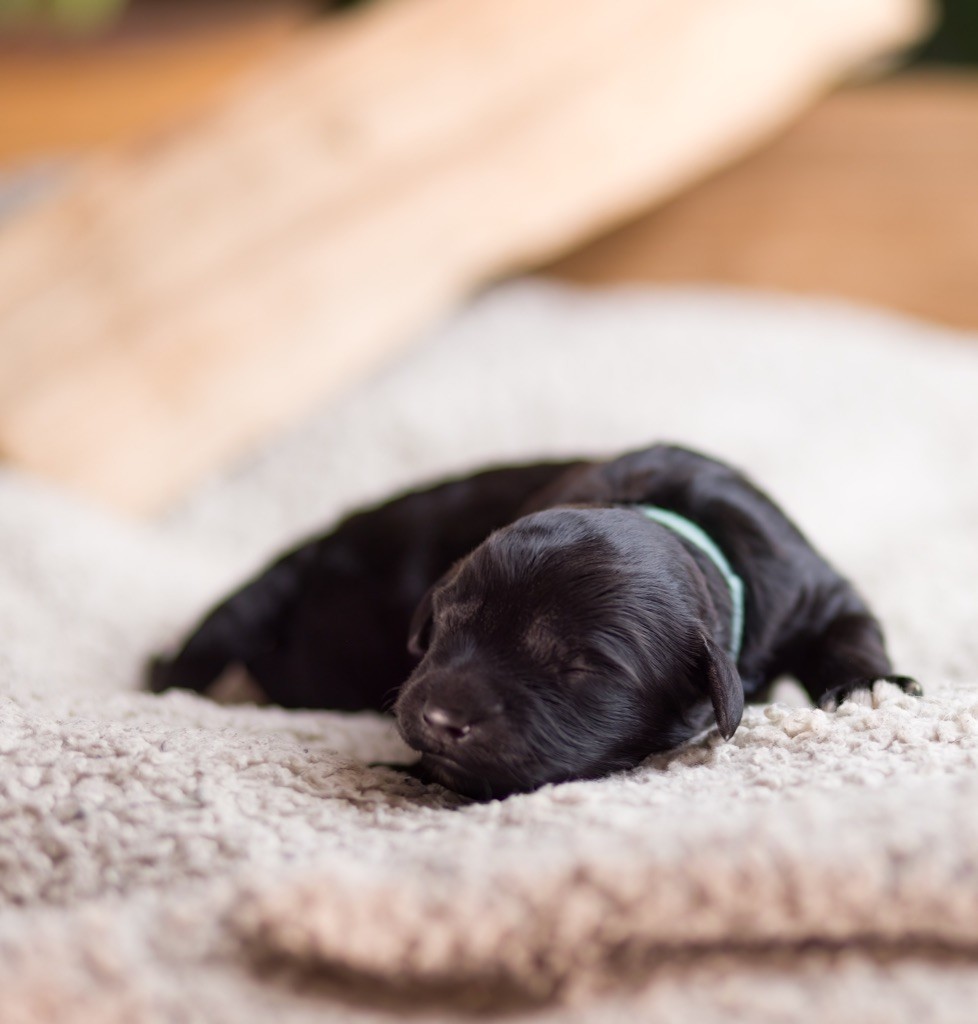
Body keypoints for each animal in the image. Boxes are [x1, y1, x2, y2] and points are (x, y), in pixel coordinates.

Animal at [149, 444, 919, 800]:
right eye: (447, 623)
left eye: (578, 666)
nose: (439, 719)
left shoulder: (808, 586)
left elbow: (850, 627)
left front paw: (868, 686)